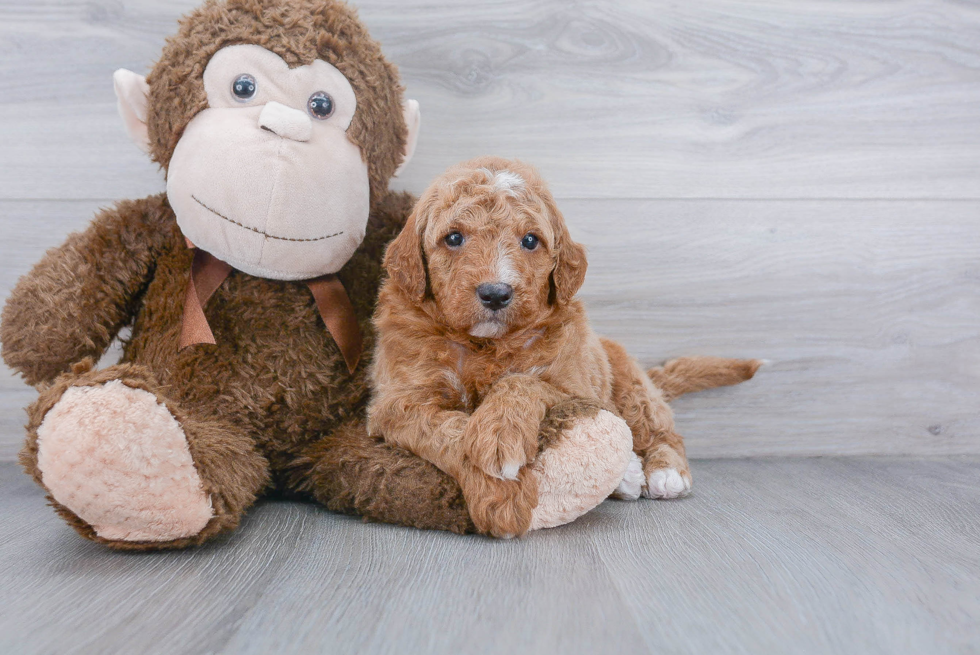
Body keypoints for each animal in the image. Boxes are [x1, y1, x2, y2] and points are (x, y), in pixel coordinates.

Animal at [368, 159, 756, 540]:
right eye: (453, 237)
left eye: (530, 240)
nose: (495, 293)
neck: (484, 344)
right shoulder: (398, 402)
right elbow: (446, 430)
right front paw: (500, 494)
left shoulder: (575, 386)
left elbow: (524, 381)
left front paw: (499, 437)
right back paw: (628, 475)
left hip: (630, 385)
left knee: (661, 430)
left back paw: (665, 473)